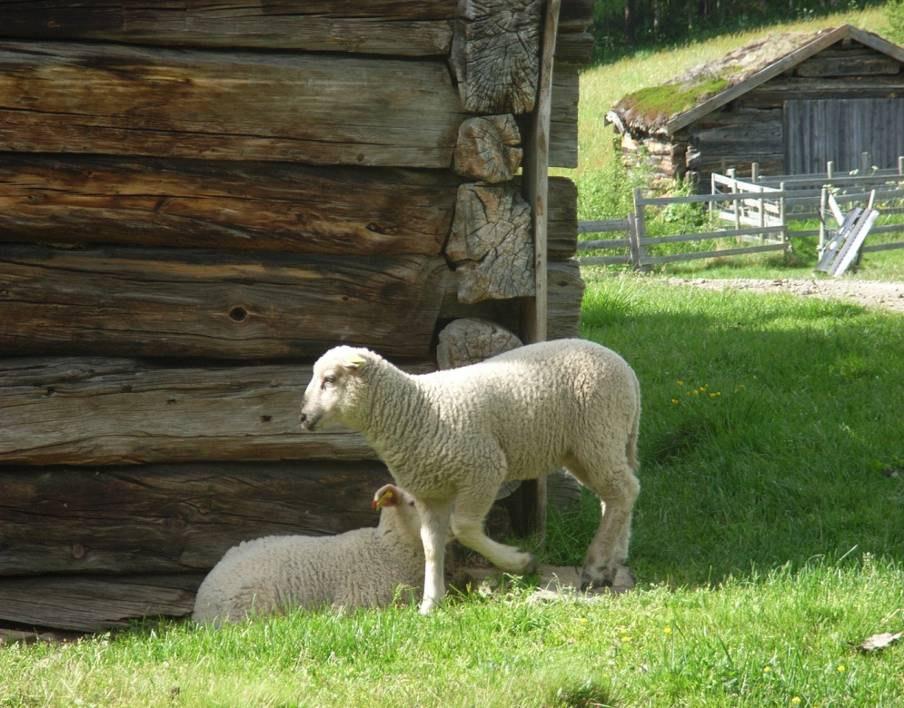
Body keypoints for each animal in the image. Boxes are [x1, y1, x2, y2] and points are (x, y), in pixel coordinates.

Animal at [300, 338, 640, 612]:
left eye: (329, 379)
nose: (303, 418)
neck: (414, 410)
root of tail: (625, 367)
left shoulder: (483, 469)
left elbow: (463, 528)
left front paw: (519, 562)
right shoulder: (430, 492)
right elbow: (431, 545)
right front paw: (430, 603)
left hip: (598, 434)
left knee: (624, 492)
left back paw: (596, 566)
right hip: (587, 448)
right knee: (618, 496)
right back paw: (613, 562)